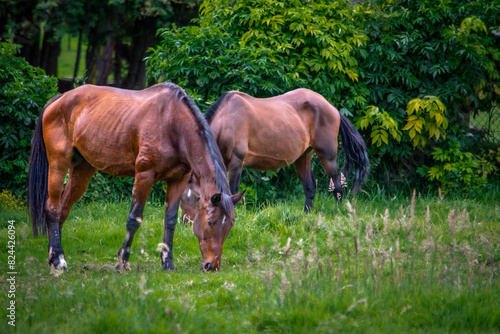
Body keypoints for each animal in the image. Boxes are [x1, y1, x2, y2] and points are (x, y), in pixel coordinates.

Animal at [28, 83, 244, 272]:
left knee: (63, 209)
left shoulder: (179, 180)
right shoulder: (144, 176)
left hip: (83, 170)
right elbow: (134, 219)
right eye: (210, 222)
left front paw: (168, 263)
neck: (173, 123)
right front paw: (122, 263)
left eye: (230, 224)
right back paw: (59, 261)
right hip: (58, 163)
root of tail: (59, 100)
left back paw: (54, 256)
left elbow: (170, 220)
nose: (211, 265)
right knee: (53, 208)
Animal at [180, 88, 368, 219]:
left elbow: (232, 190)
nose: (186, 222)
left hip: (327, 155)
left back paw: (338, 211)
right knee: (310, 187)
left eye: (197, 197)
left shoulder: (236, 162)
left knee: (337, 184)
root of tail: (332, 108)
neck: (226, 120)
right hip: (303, 157)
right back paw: (306, 215)